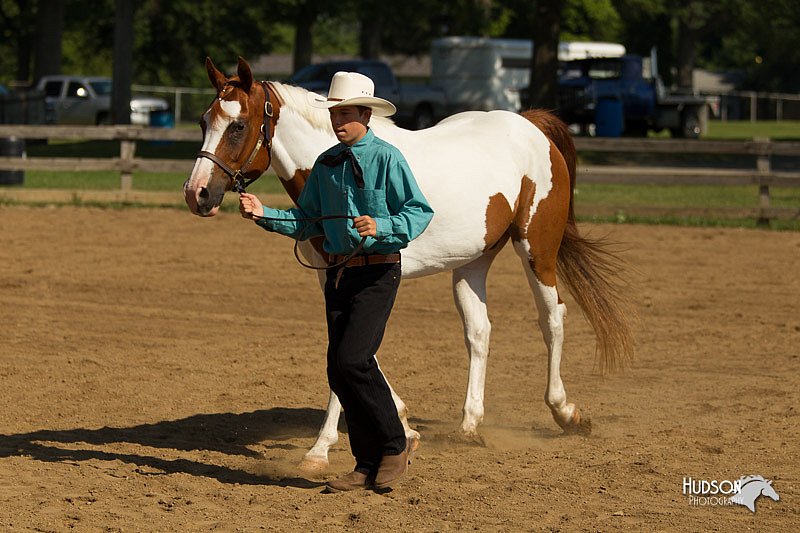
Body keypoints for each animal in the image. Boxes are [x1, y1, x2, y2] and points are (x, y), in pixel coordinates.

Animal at [184, 56, 636, 468]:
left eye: (238, 125)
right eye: (205, 122)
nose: (197, 193)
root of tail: (531, 125)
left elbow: (352, 349)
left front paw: (320, 448)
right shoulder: (332, 279)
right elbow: (348, 348)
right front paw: (404, 425)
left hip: (536, 248)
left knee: (552, 317)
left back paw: (566, 412)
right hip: (472, 261)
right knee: (479, 332)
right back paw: (469, 425)